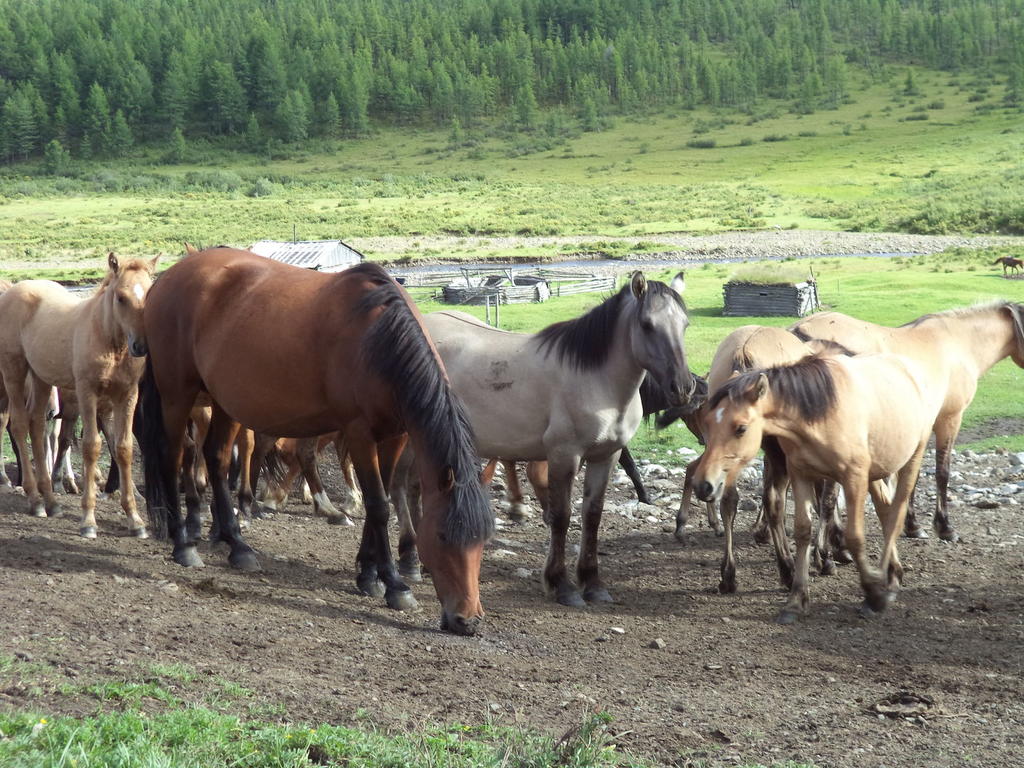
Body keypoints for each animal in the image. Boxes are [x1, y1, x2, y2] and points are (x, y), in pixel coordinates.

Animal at [0, 256, 157, 536]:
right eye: (121, 297)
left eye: (149, 293)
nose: (140, 346)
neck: (109, 343)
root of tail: (13, 290)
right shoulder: (86, 393)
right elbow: (91, 445)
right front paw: (88, 520)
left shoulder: (127, 395)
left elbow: (123, 447)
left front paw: (135, 520)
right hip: (14, 372)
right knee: (18, 425)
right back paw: (35, 500)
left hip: (41, 378)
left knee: (37, 425)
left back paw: (51, 501)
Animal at [141, 249, 495, 634]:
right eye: (443, 535)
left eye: (483, 539)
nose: (467, 620)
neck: (377, 340)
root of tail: (168, 276)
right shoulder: (358, 432)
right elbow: (379, 506)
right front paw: (394, 585)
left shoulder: (395, 436)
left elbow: (381, 501)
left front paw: (367, 574)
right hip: (177, 393)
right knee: (173, 455)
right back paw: (183, 544)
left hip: (222, 401)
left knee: (217, 458)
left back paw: (235, 544)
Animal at [409, 274, 696, 606]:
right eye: (647, 325)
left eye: (685, 324)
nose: (683, 387)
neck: (595, 380)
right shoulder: (564, 455)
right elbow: (561, 516)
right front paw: (562, 585)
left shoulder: (606, 456)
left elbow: (592, 515)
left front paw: (593, 583)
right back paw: (412, 564)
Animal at [696, 354, 942, 626]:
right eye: (707, 423)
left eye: (741, 428)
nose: (703, 484)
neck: (819, 414)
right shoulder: (801, 474)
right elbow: (803, 531)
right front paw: (796, 600)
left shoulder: (853, 477)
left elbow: (854, 536)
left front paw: (873, 594)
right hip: (876, 471)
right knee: (885, 509)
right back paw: (892, 574)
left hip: (911, 459)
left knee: (896, 515)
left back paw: (885, 582)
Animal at [790, 303, 1024, 544]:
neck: (958, 344)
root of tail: (800, 329)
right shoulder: (949, 419)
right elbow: (941, 472)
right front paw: (944, 527)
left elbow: (910, 473)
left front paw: (911, 525)